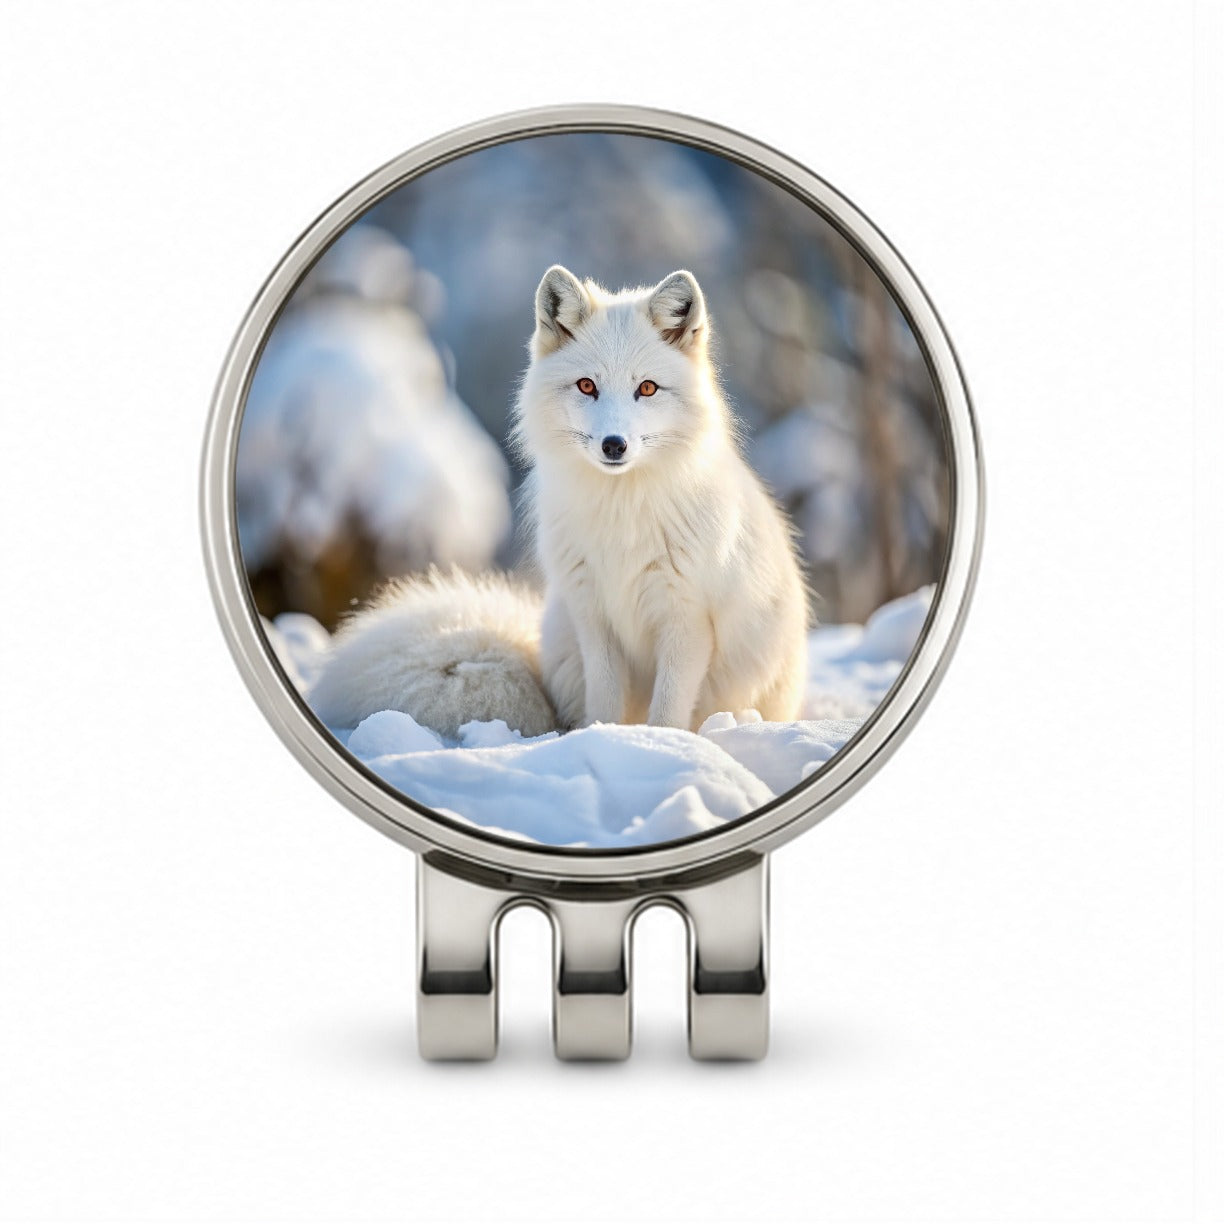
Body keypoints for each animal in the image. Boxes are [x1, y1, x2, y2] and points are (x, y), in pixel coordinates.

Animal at [308, 266, 808, 737]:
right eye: (587, 386)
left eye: (647, 388)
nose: (613, 445)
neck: (620, 516)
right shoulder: (592, 613)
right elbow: (604, 699)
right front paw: (602, 738)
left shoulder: (685, 619)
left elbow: (667, 709)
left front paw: (661, 743)